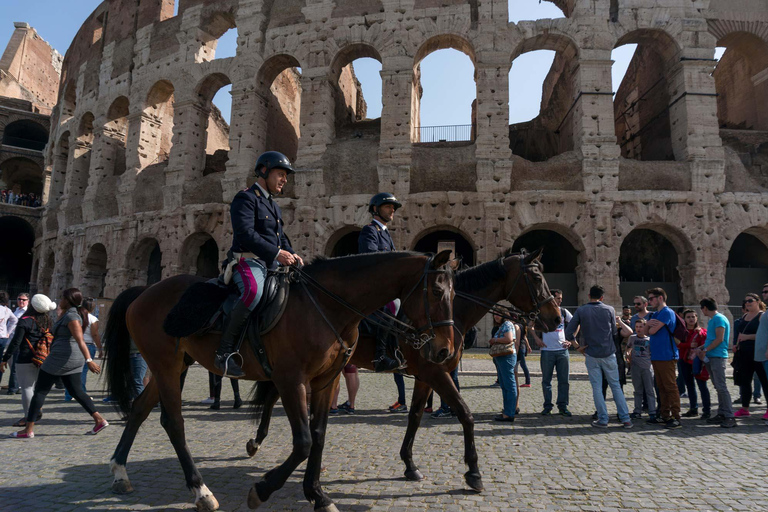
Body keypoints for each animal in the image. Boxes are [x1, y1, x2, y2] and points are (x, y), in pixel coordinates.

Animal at [105, 250, 460, 510]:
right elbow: (303, 441)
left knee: (140, 409)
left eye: (454, 293)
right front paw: (263, 489)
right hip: (166, 365)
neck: (327, 306)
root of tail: (145, 291)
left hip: (173, 364)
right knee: (174, 422)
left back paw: (120, 471)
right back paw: (200, 490)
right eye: (436, 291)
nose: (444, 350)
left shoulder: (326, 381)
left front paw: (317, 494)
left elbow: (318, 435)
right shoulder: (291, 380)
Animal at [240, 248, 560, 492]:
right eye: (536, 277)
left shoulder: (428, 375)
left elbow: (416, 416)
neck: (451, 314)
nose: (556, 317)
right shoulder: (434, 372)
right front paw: (473, 472)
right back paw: (258, 441)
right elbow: (465, 414)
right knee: (275, 395)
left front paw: (409, 464)